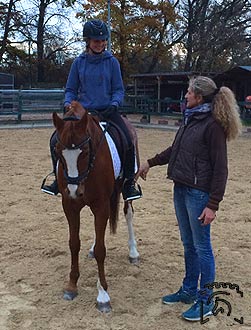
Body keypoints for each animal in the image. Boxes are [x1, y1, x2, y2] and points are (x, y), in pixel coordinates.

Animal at [52, 102, 140, 314]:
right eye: (57, 150)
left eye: (84, 150)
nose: (74, 190)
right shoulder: (70, 206)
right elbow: (73, 244)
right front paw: (71, 286)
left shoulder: (101, 205)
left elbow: (102, 249)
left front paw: (103, 295)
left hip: (126, 187)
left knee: (129, 214)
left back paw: (133, 252)